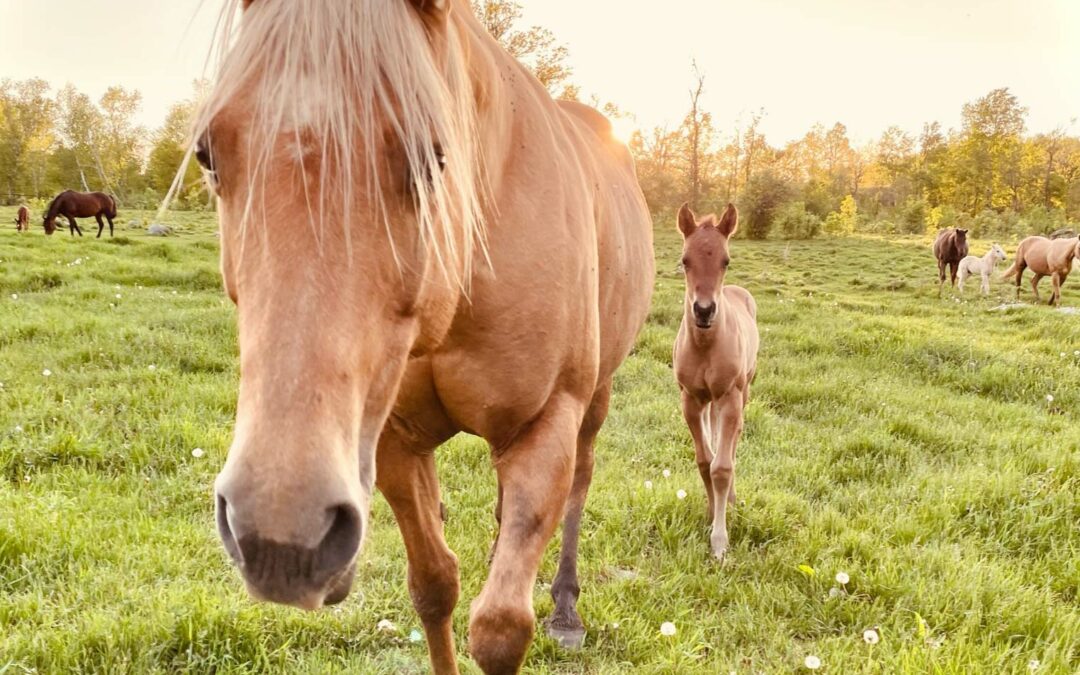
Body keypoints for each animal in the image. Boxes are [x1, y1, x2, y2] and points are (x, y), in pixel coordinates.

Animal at [191, 1, 654, 673]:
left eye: (431, 156)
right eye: (207, 154)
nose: (280, 535)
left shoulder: (546, 423)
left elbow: (501, 627)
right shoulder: (393, 438)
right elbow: (435, 585)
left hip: (595, 398)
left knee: (579, 486)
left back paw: (566, 609)